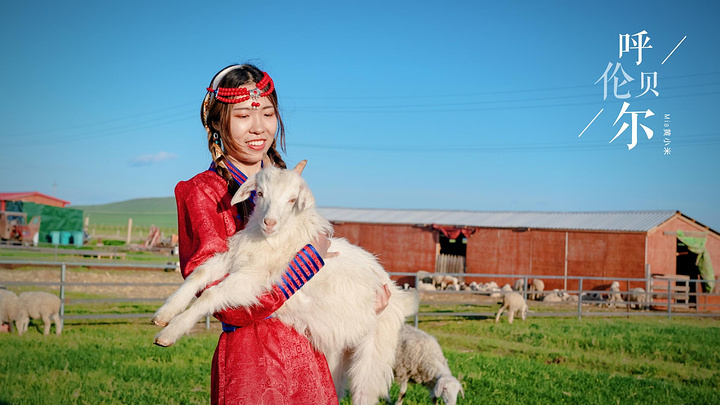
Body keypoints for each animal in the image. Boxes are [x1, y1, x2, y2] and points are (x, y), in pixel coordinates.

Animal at [154, 162, 420, 404]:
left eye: (293, 199)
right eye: (260, 193)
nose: (269, 223)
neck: (275, 239)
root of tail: (396, 292)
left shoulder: (255, 278)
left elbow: (211, 294)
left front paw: (169, 333)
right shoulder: (234, 258)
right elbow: (199, 274)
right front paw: (164, 314)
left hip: (374, 352)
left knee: (365, 392)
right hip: (336, 351)